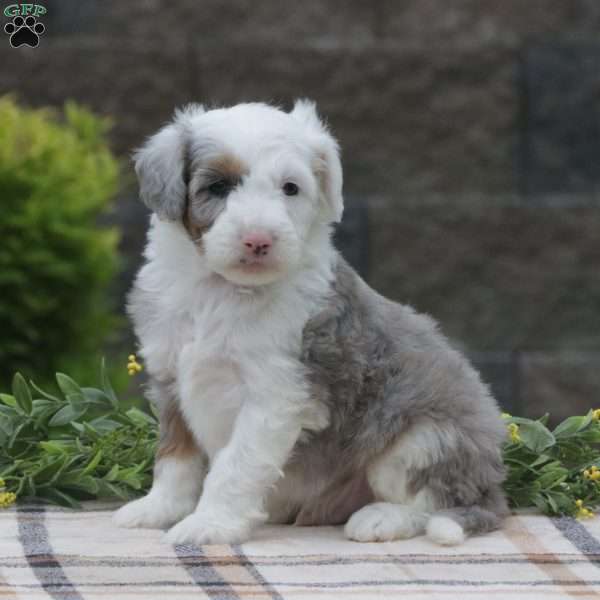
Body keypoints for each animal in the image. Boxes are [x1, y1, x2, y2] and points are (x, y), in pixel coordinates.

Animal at [112, 101, 506, 548]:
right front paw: (158, 509)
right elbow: (175, 457)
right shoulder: (170, 376)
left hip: (422, 439)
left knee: (434, 501)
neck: (220, 291)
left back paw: (381, 519)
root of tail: (493, 484)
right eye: (218, 187)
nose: (259, 241)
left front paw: (208, 524)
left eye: (290, 188)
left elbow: (235, 466)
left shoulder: (276, 394)